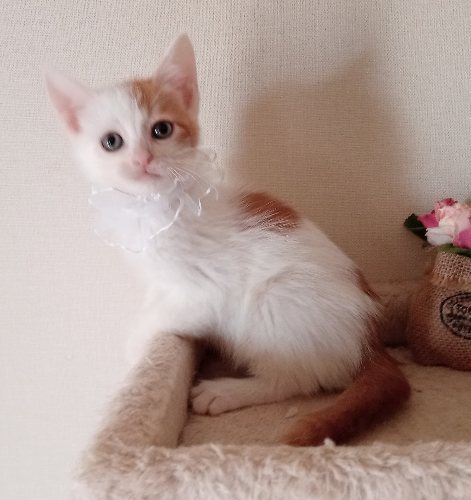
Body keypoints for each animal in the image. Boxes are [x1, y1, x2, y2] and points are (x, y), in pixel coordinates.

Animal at [46, 34, 410, 446]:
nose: (142, 159)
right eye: (111, 141)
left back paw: (227, 391)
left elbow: (158, 318)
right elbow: (155, 298)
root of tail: (371, 338)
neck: (154, 205)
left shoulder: (205, 293)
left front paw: (136, 347)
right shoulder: (159, 277)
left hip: (272, 303)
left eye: (161, 130)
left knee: (297, 379)